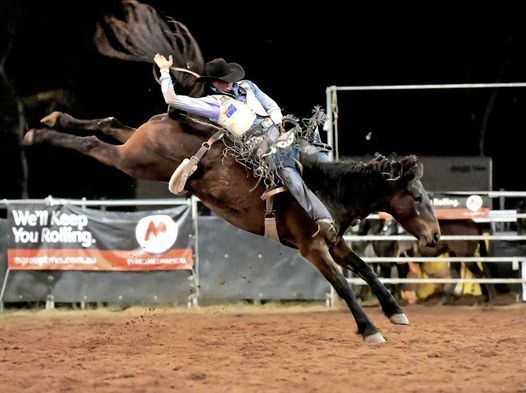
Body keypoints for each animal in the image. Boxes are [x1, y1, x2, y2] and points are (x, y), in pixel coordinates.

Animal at [20, 2, 442, 344]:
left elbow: (365, 269)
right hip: (133, 159)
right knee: (95, 146)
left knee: (107, 124)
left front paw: (395, 312)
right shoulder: (314, 248)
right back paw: (37, 133)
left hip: (137, 145)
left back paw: (55, 118)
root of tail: (174, 117)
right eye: (418, 197)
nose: (436, 237)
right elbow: (342, 284)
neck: (327, 191)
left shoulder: (336, 243)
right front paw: (370, 330)